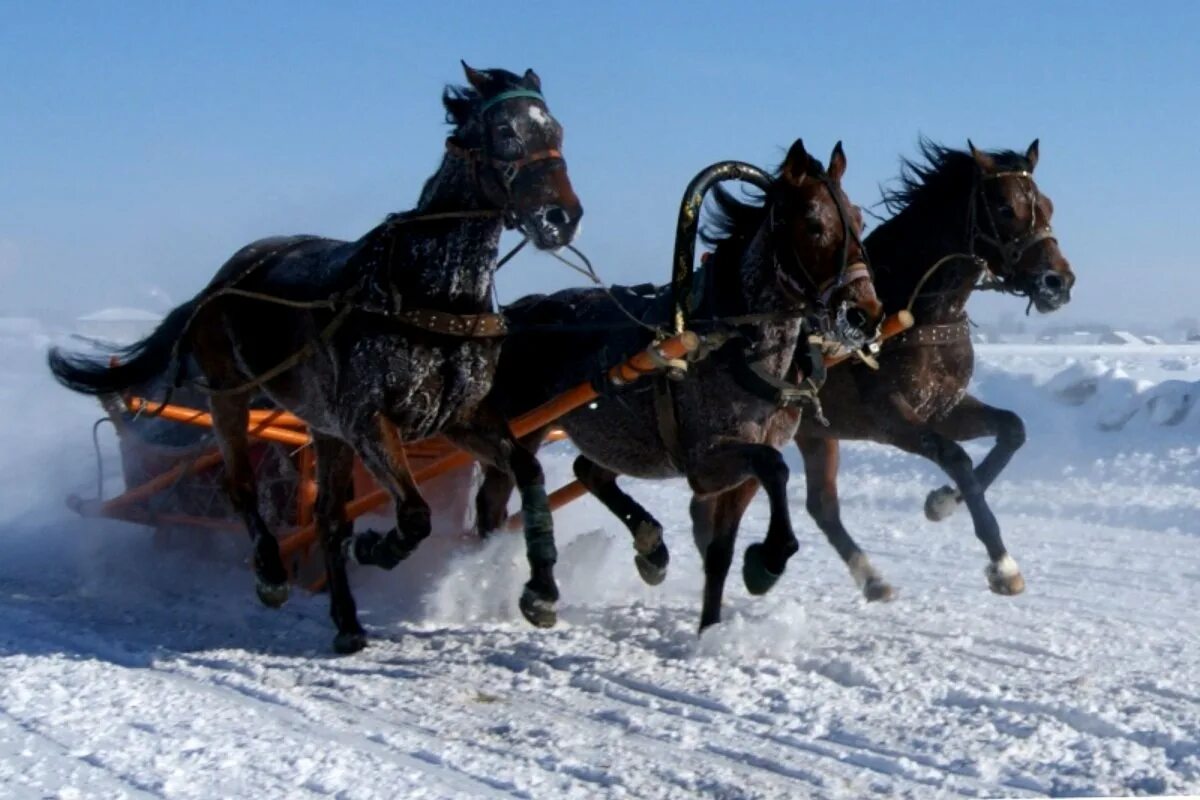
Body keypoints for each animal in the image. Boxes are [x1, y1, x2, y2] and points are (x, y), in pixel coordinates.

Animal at [49, 61, 583, 652]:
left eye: (557, 131)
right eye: (506, 131)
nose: (561, 217)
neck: (431, 295)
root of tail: (221, 279)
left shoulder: (458, 416)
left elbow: (526, 468)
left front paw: (540, 590)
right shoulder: (370, 419)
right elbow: (414, 515)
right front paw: (376, 547)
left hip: (325, 429)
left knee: (327, 515)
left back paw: (347, 622)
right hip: (232, 398)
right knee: (242, 487)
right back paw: (273, 575)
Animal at [475, 139, 883, 633]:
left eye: (860, 219)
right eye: (812, 222)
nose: (865, 314)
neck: (732, 343)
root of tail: (513, 316)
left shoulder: (739, 469)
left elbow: (722, 549)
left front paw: (712, 626)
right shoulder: (706, 461)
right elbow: (775, 469)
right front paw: (767, 561)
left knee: (586, 472)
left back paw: (650, 547)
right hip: (522, 427)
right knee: (499, 497)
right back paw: (511, 581)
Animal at [787, 137, 1080, 599]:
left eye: (1047, 206)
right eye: (1004, 208)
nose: (1058, 283)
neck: (913, 315)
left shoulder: (942, 407)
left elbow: (1012, 430)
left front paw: (943, 502)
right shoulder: (888, 417)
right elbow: (955, 457)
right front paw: (1003, 564)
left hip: (815, 432)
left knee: (822, 506)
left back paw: (873, 579)